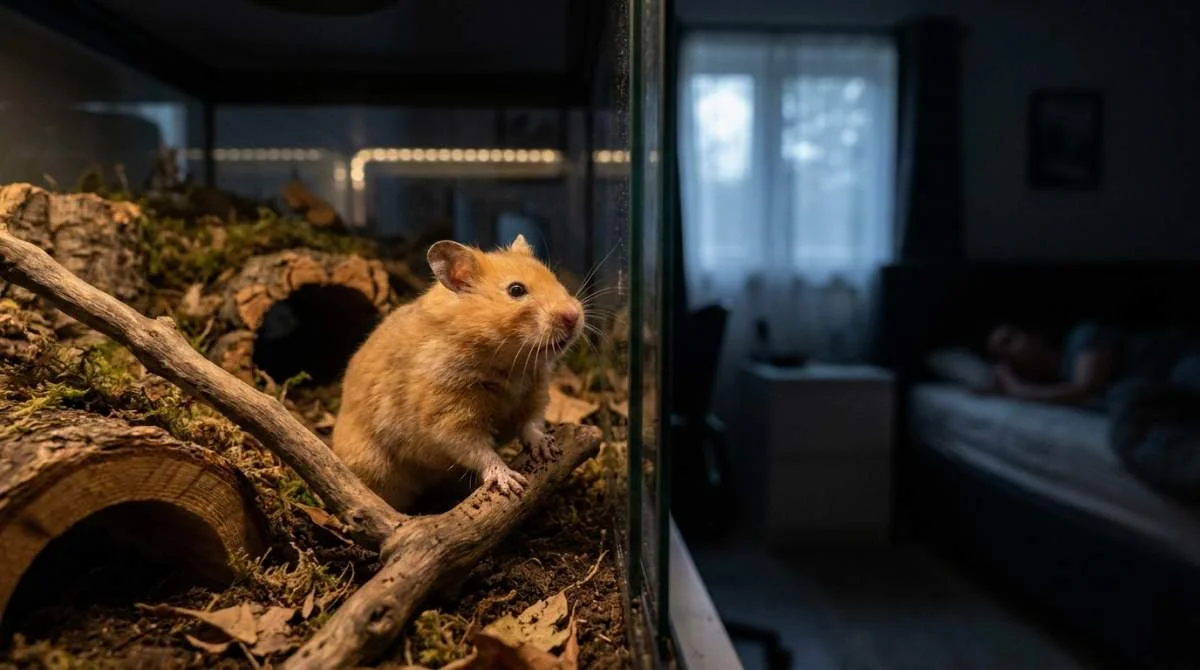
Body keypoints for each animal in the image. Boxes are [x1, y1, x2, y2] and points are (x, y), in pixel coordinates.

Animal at [331, 234, 585, 512]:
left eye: (554, 278)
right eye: (516, 290)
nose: (573, 316)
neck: (511, 364)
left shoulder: (535, 394)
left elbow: (532, 424)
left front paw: (548, 448)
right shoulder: (449, 417)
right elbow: (479, 452)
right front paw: (510, 482)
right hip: (377, 467)